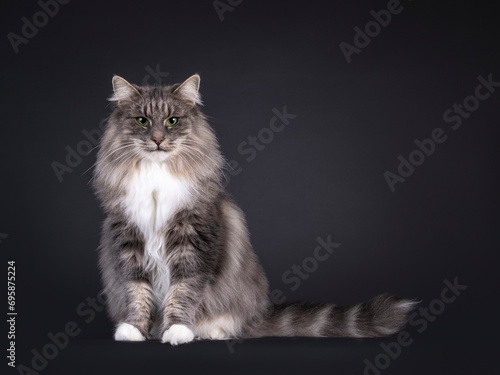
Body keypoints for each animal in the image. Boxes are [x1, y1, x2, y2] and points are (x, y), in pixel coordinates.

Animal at [93, 74, 414, 346]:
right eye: (142, 121)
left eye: (172, 121)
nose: (158, 139)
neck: (156, 176)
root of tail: (258, 312)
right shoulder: (127, 240)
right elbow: (137, 291)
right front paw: (134, 330)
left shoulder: (193, 240)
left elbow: (183, 291)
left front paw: (178, 331)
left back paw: (209, 331)